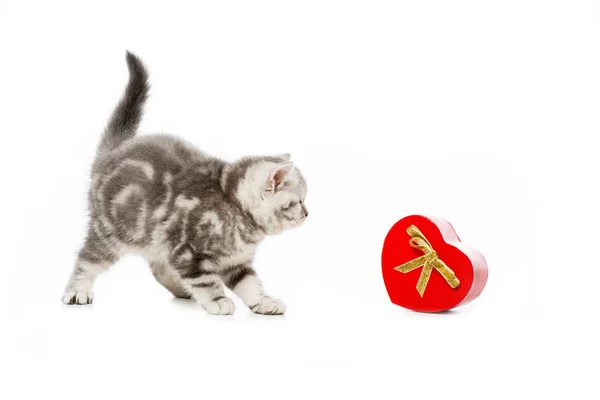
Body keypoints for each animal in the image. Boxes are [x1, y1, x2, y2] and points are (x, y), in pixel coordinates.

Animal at [62, 51, 310, 316]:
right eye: (299, 201)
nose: (307, 213)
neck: (232, 202)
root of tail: (113, 152)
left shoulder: (236, 260)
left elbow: (250, 282)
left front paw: (263, 301)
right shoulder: (188, 252)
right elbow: (205, 280)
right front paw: (217, 300)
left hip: (155, 239)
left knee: (158, 268)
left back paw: (182, 290)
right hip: (111, 231)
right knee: (87, 258)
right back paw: (77, 290)